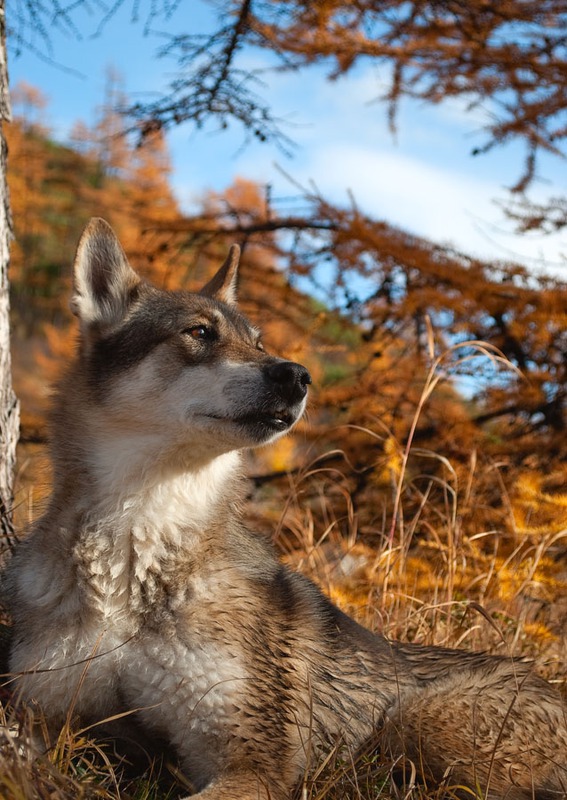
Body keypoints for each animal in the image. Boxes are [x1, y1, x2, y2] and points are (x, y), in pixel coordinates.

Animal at [1, 216, 567, 796]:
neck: (137, 548)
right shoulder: (36, 716)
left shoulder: (253, 764)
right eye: (199, 333)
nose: (297, 375)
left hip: (417, 720)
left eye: (258, 343)